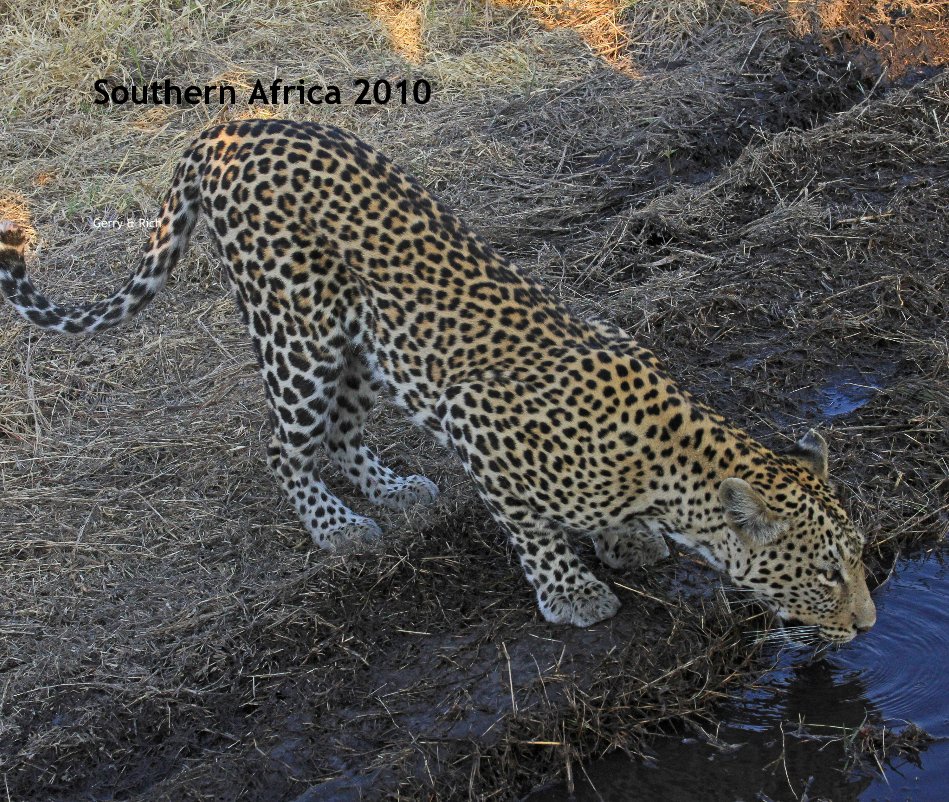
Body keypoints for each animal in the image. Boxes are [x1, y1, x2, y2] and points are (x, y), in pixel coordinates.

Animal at [0, 119, 872, 640]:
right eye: (826, 573)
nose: (866, 623)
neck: (664, 469)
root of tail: (230, 127)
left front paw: (622, 539)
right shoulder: (475, 418)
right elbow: (530, 526)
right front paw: (571, 592)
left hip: (364, 343)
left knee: (342, 433)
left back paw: (395, 490)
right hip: (298, 332)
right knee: (284, 447)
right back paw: (338, 528)